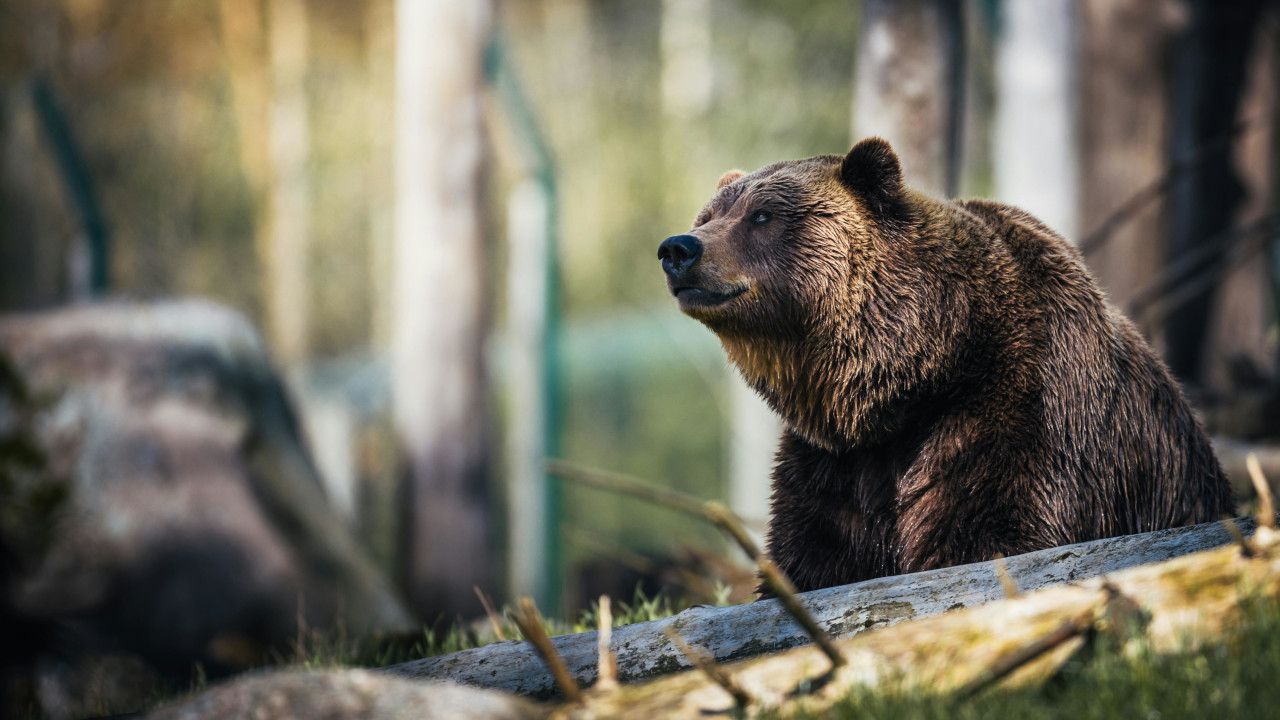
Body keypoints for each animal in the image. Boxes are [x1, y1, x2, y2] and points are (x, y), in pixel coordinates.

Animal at [657, 137, 1234, 593]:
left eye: (762, 216)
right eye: (708, 216)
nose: (678, 248)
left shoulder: (1020, 414)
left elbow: (992, 534)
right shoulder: (834, 465)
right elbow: (813, 556)